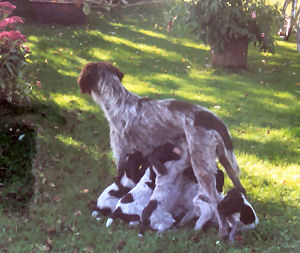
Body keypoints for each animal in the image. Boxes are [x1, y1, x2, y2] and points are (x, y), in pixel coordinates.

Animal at [77, 62, 246, 240]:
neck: (119, 101)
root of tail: (213, 119)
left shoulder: (121, 155)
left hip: (201, 166)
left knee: (213, 202)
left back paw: (212, 230)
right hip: (225, 160)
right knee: (239, 190)